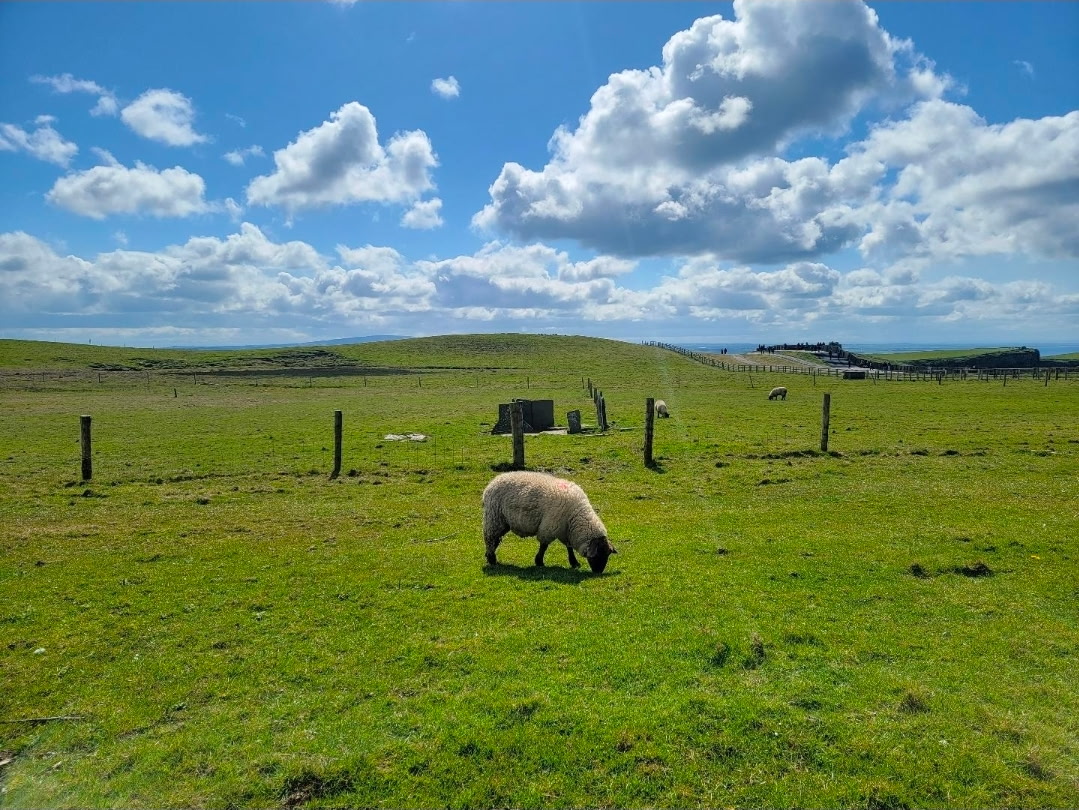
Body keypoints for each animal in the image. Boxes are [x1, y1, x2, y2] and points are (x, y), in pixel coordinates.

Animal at [482, 471, 617, 573]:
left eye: (608, 555)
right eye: (598, 554)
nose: (598, 572)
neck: (575, 515)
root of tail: (493, 481)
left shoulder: (565, 530)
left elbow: (569, 548)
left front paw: (574, 563)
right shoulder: (548, 528)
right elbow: (544, 546)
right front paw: (539, 562)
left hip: (502, 522)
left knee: (495, 540)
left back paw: (489, 557)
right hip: (494, 518)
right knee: (490, 538)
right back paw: (492, 559)